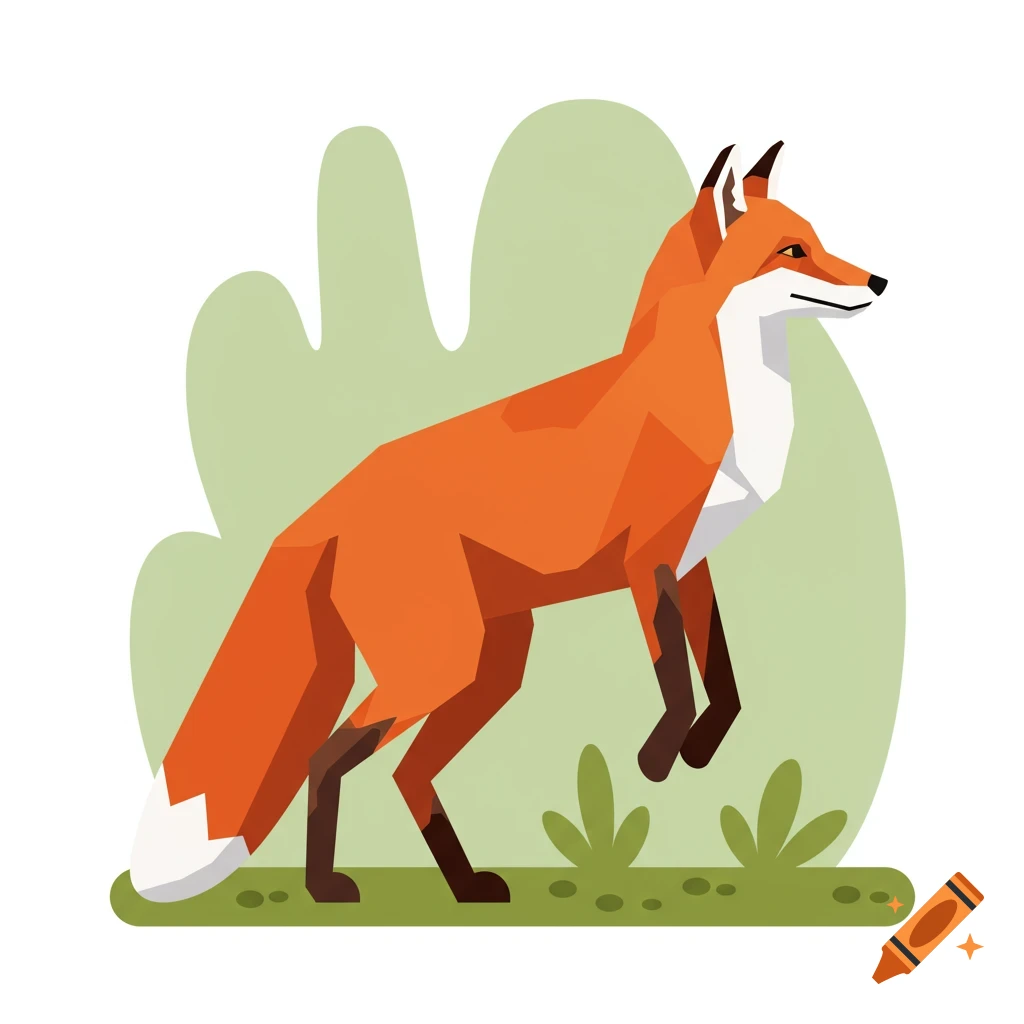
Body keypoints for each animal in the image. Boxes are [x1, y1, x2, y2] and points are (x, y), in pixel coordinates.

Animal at [130, 140, 887, 904]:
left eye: (818, 239)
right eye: (792, 250)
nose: (879, 280)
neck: (707, 399)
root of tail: (334, 497)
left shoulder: (693, 564)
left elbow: (726, 686)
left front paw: (698, 751)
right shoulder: (646, 564)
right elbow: (675, 680)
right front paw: (657, 758)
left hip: (490, 665)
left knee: (403, 773)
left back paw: (464, 886)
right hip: (441, 661)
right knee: (326, 757)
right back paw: (326, 888)